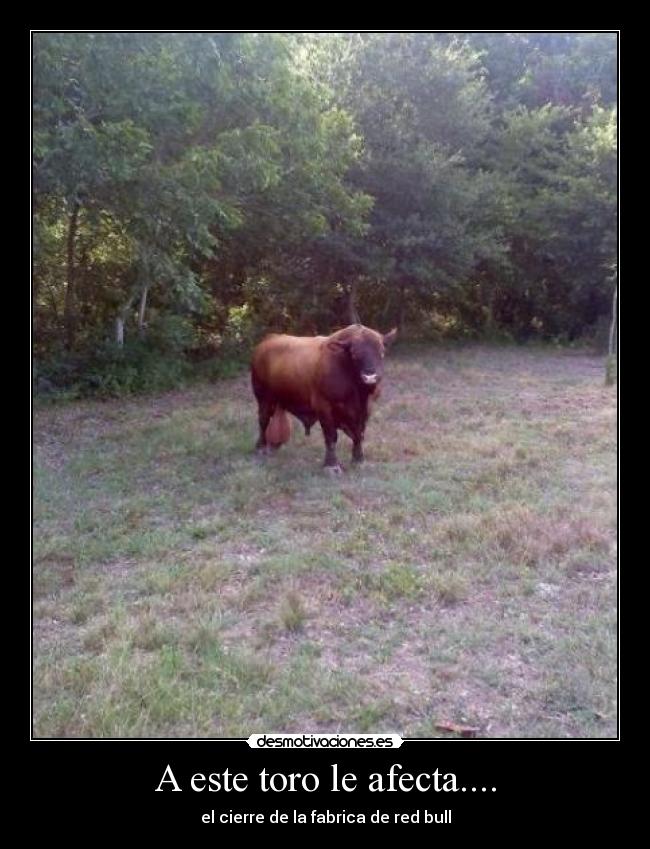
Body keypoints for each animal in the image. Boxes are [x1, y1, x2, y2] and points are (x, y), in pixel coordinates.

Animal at [251, 324, 397, 472]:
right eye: (354, 354)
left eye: (382, 352)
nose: (370, 376)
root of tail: (268, 340)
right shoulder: (324, 407)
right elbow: (331, 436)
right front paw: (332, 465)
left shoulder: (365, 409)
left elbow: (358, 433)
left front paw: (358, 459)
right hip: (263, 396)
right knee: (263, 420)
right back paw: (261, 447)